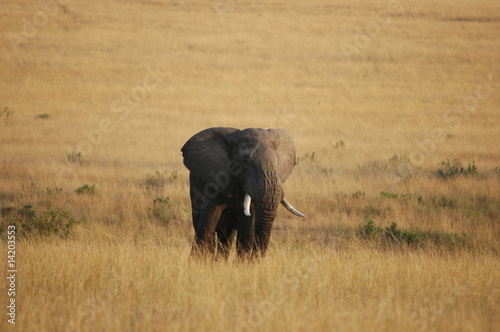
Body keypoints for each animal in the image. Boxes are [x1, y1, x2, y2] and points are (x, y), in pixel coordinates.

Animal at [181, 127, 304, 260]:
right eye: (245, 161)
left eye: (277, 162)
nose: (256, 257)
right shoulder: (215, 181)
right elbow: (208, 222)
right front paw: (199, 261)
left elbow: (247, 229)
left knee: (227, 236)